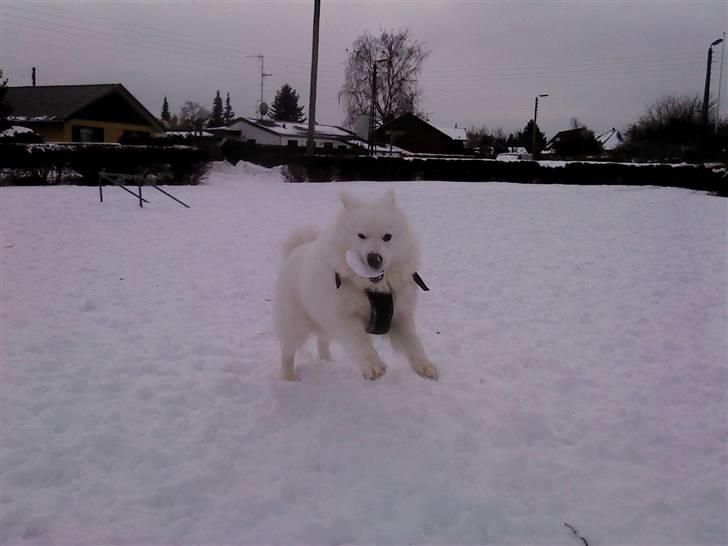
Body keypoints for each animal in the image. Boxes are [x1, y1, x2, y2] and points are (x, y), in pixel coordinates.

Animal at [272, 189, 438, 380]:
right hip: (295, 322)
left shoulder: (400, 315)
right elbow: (360, 341)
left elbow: (414, 342)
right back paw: (288, 378)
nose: (374, 259)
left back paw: (327, 362)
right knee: (288, 350)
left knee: (322, 340)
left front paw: (425, 366)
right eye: (361, 235)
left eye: (387, 237)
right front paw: (373, 366)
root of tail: (294, 250)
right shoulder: (344, 317)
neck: (374, 289)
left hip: (322, 320)